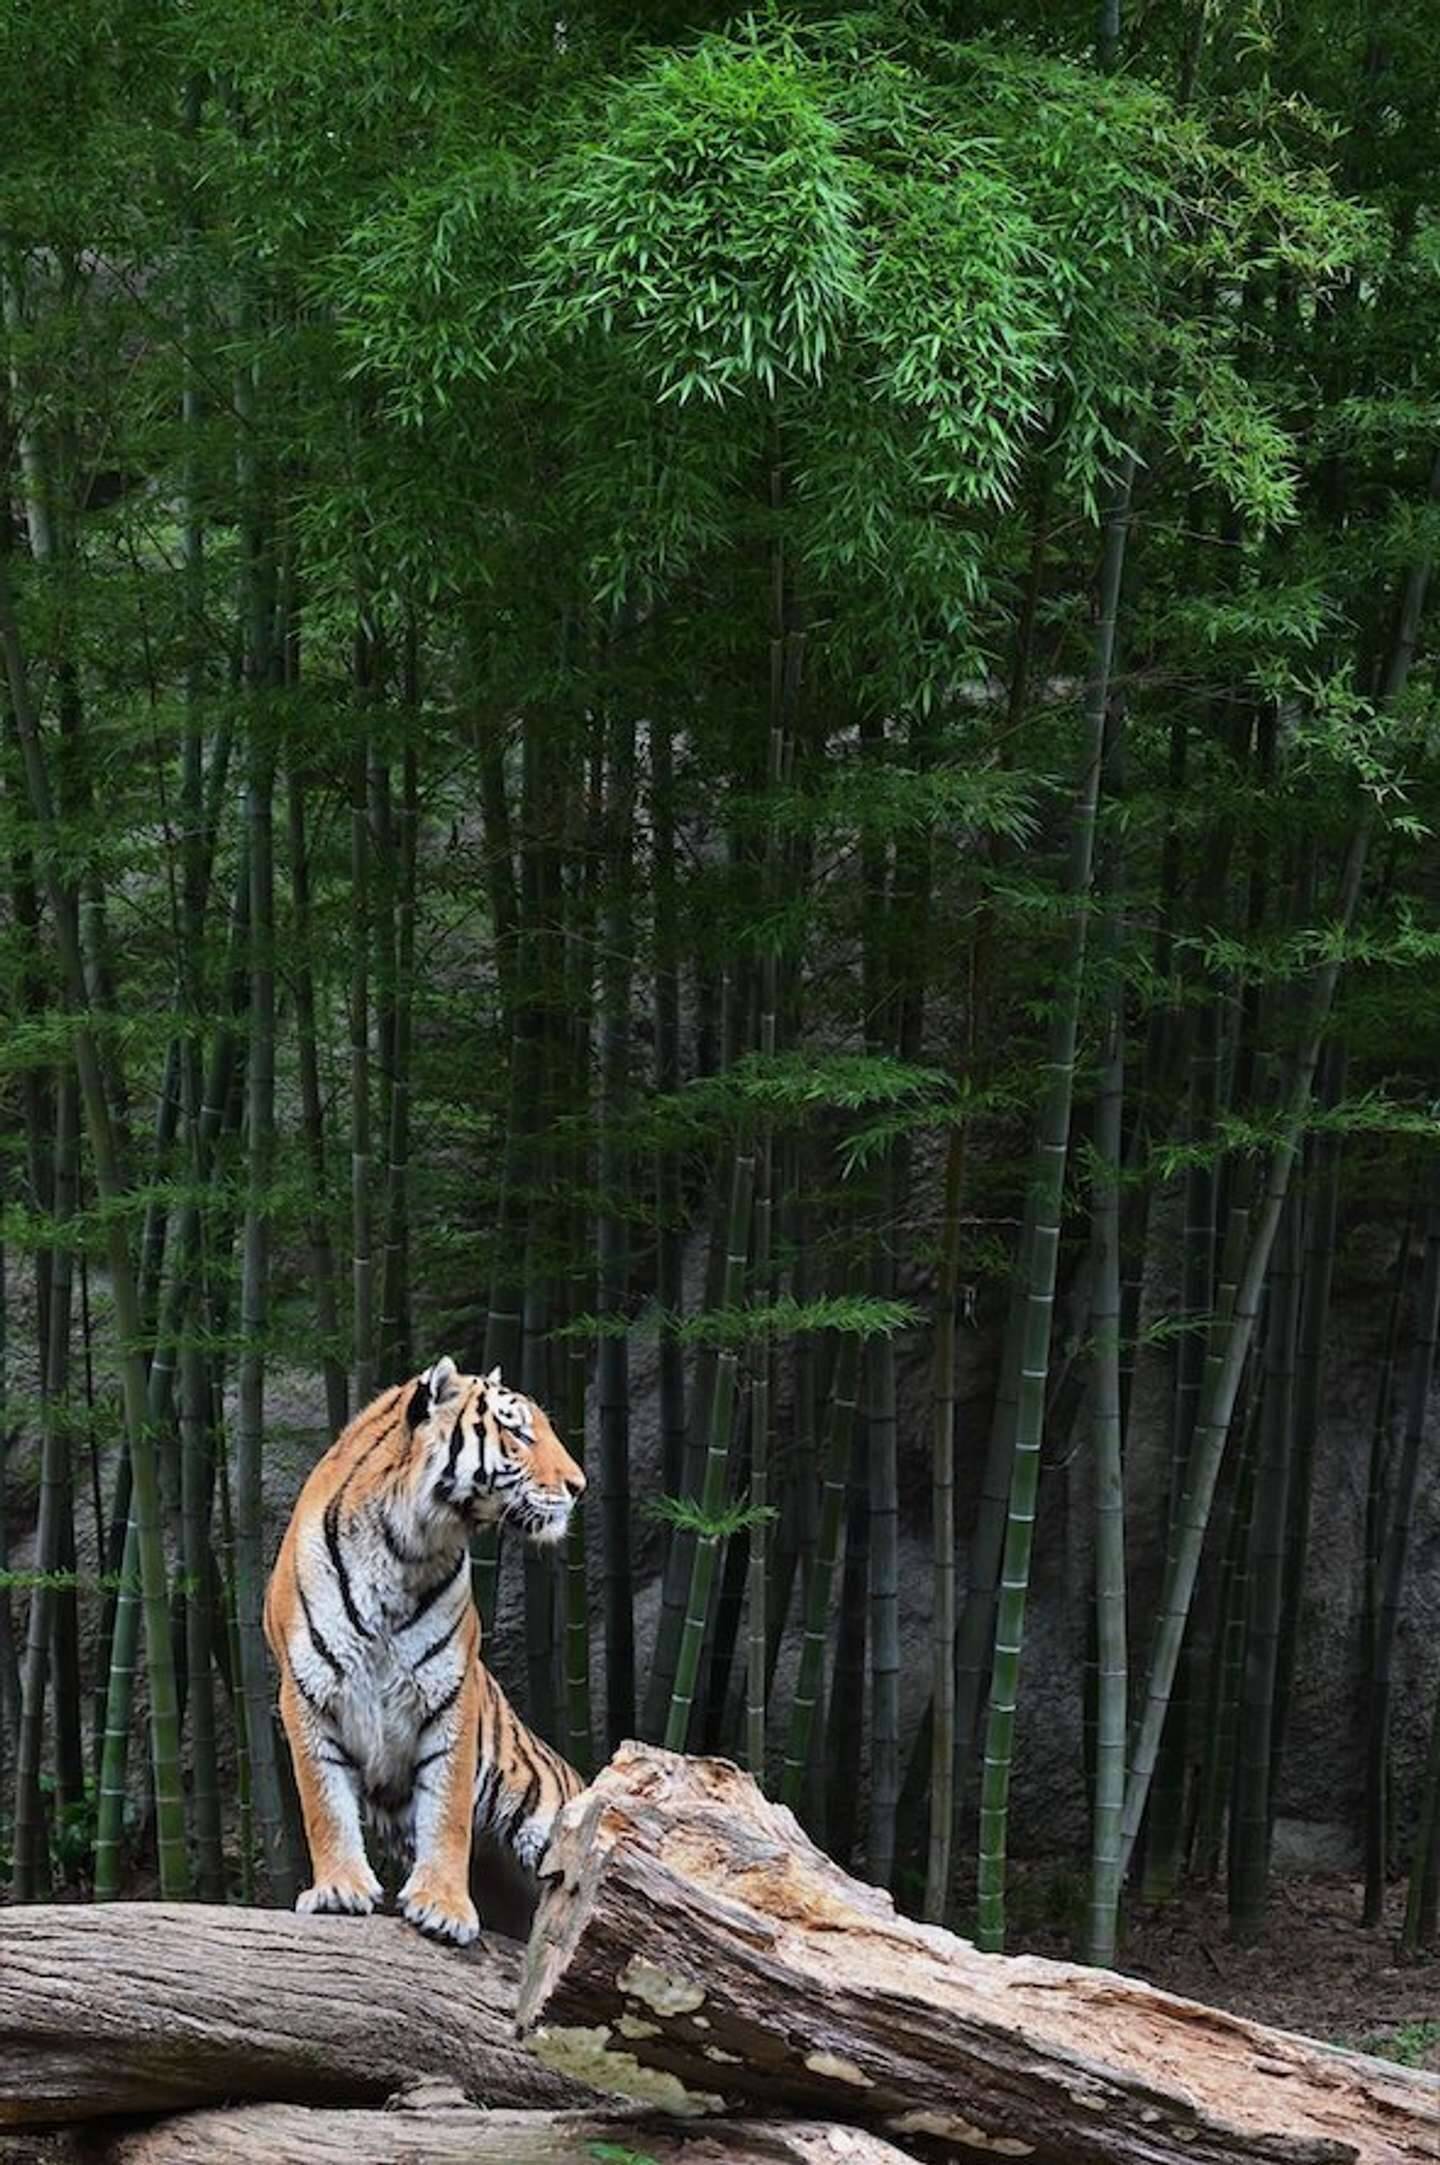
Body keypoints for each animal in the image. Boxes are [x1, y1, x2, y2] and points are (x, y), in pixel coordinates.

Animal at [263, 1355, 586, 1946]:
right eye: (517, 1431)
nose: (580, 1486)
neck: (404, 1547)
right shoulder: (307, 1691)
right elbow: (324, 1802)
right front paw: (339, 1889)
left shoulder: (448, 1692)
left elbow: (447, 1811)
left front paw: (442, 1906)